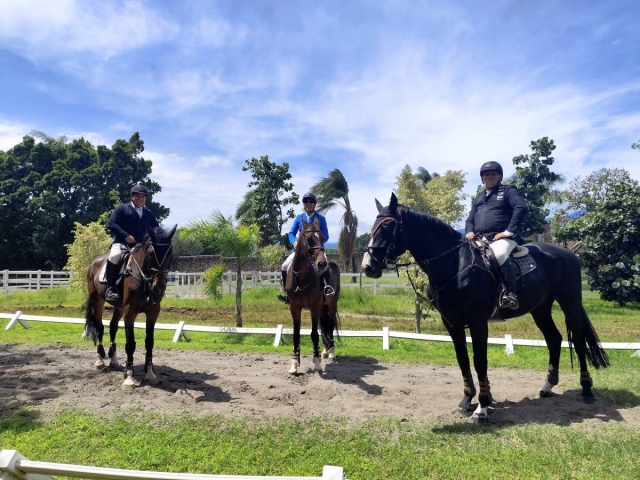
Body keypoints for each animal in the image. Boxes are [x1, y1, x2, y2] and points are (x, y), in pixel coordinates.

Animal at [84, 225, 178, 390]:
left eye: (170, 253)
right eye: (151, 253)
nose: (159, 288)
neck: (144, 277)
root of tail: (94, 261)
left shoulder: (153, 312)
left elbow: (149, 342)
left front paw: (150, 374)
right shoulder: (130, 311)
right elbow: (130, 344)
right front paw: (129, 377)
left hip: (119, 308)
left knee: (113, 327)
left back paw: (114, 360)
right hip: (97, 301)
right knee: (100, 327)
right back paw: (100, 360)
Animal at [286, 218, 340, 376]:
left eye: (322, 237)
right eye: (309, 239)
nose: (322, 264)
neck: (301, 278)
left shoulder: (313, 307)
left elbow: (314, 334)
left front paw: (317, 363)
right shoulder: (294, 308)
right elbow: (296, 334)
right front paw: (294, 364)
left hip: (332, 303)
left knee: (329, 325)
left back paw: (331, 351)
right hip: (322, 306)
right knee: (325, 326)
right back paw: (325, 350)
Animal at [360, 193, 608, 422]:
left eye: (388, 226)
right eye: (372, 228)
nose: (368, 267)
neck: (455, 264)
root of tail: (568, 254)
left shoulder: (478, 323)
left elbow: (480, 361)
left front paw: (482, 407)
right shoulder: (452, 323)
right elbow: (463, 360)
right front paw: (467, 400)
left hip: (570, 304)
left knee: (577, 341)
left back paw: (587, 390)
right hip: (540, 309)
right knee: (554, 339)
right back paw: (547, 387)